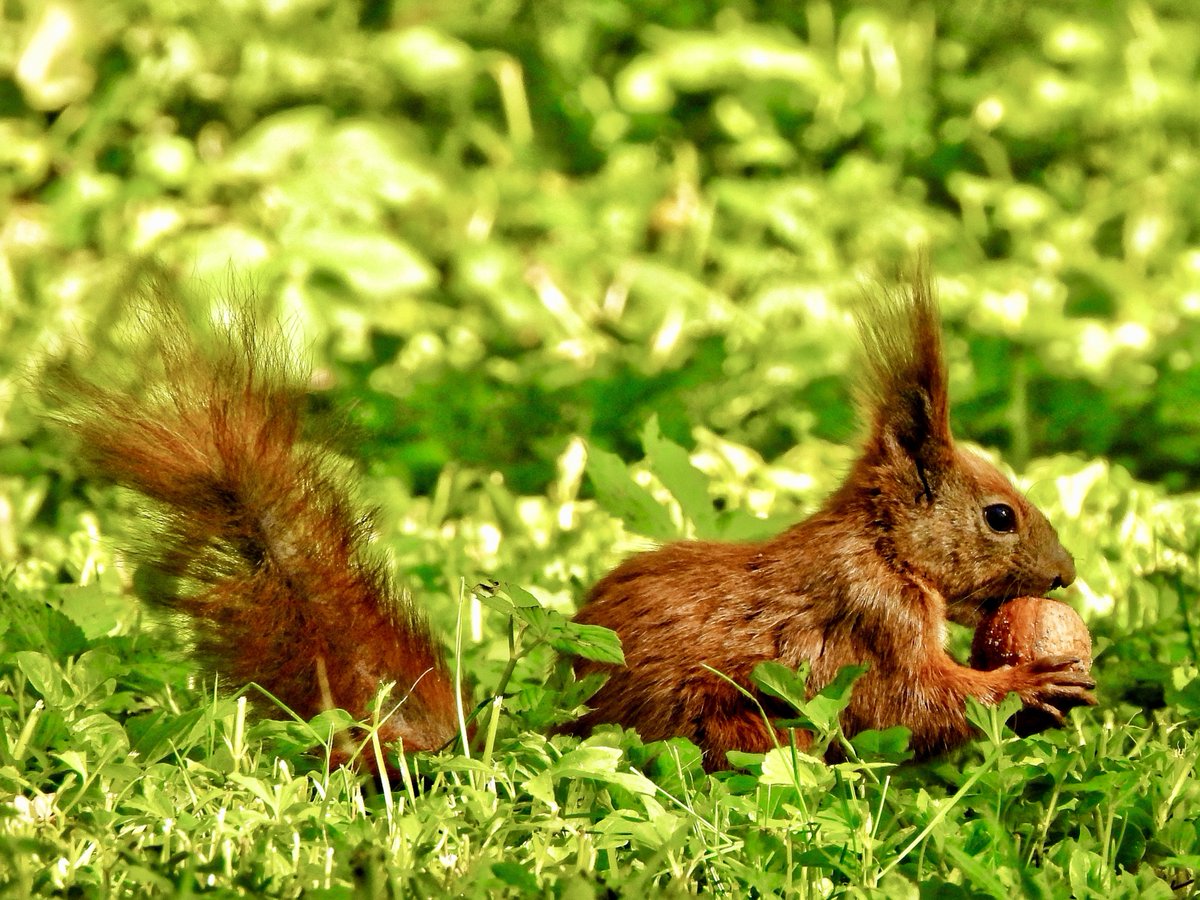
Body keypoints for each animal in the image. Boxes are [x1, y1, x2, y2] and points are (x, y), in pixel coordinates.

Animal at [46, 274, 1099, 777]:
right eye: (1000, 516)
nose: (1066, 573)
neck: (881, 542)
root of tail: (554, 726)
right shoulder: (868, 612)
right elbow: (912, 699)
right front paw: (1029, 684)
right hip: (732, 726)